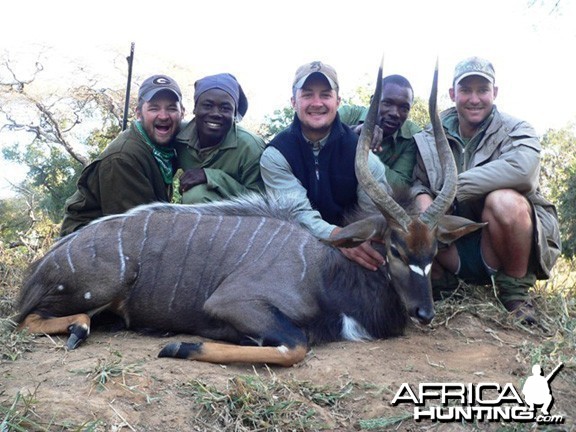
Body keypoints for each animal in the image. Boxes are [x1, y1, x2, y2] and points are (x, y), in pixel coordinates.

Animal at [15, 61, 482, 364]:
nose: (424, 313)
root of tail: (41, 268)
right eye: (395, 249)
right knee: (25, 319)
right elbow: (296, 346)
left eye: (433, 251)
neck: (326, 269)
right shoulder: (234, 303)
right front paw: (179, 345)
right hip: (93, 292)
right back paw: (78, 330)